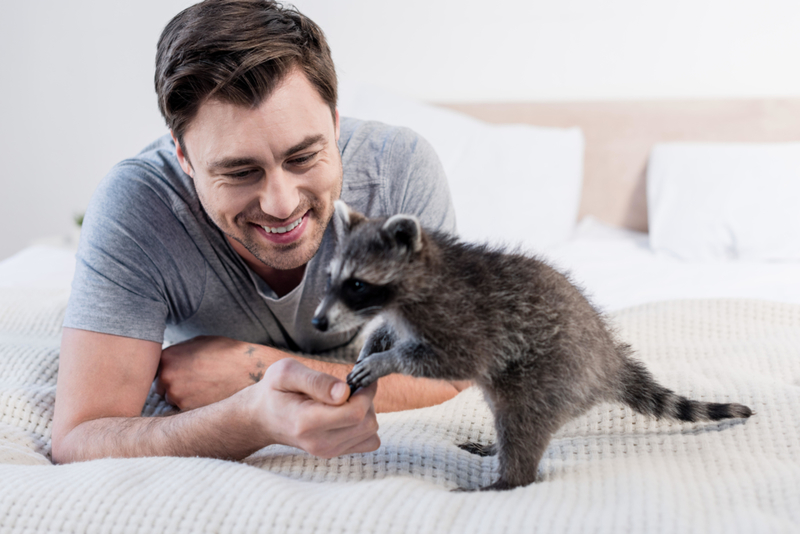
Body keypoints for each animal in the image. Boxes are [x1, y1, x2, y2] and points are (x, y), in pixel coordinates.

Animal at [310, 202, 752, 494]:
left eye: (356, 284)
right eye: (330, 278)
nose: (317, 323)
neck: (422, 273)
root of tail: (609, 359)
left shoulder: (461, 319)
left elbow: (454, 360)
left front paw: (386, 361)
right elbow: (388, 331)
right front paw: (373, 346)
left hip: (552, 374)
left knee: (521, 421)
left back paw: (508, 480)